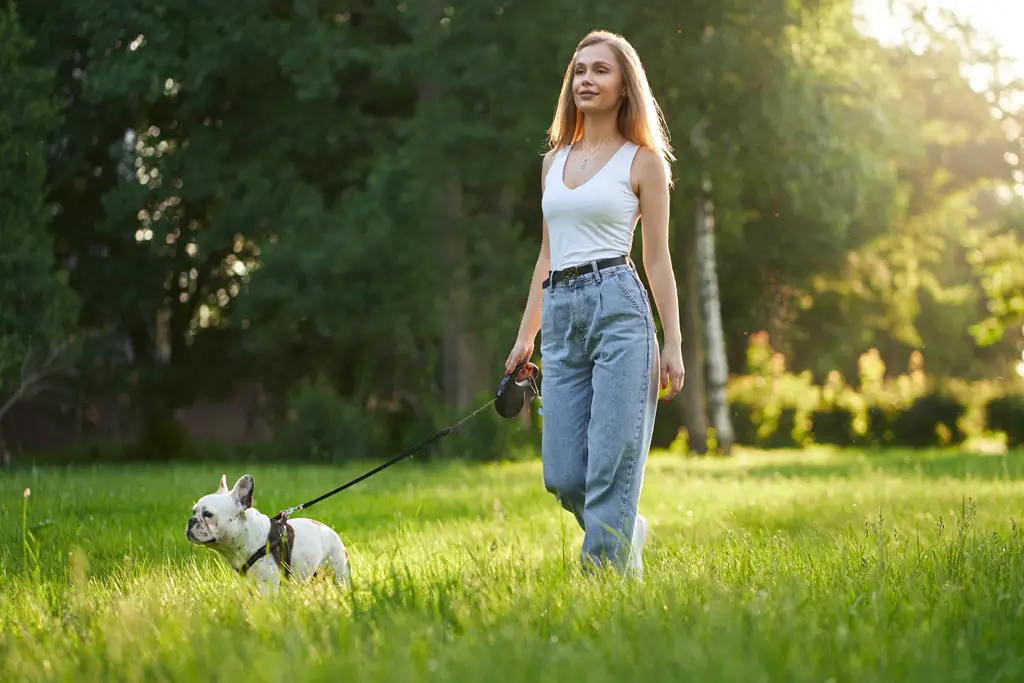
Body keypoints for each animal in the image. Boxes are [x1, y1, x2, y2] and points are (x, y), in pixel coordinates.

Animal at [181, 473, 348, 589]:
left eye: (208, 514)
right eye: (193, 511)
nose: (191, 521)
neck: (246, 536)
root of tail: (333, 533)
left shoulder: (268, 585)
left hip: (339, 574)